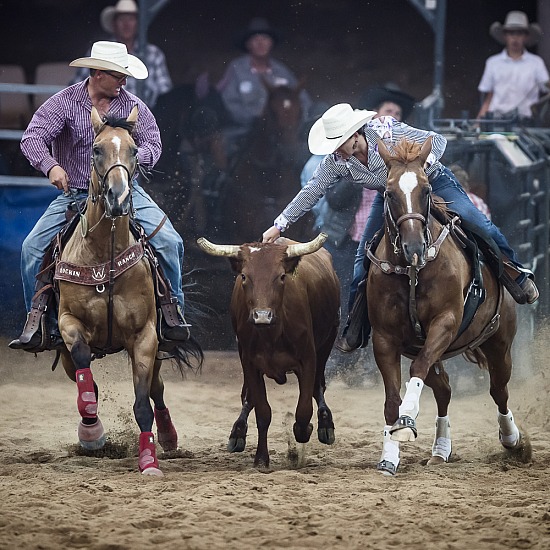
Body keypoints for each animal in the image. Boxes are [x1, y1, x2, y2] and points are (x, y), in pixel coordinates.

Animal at [55, 105, 202, 476]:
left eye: (135, 151)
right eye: (96, 149)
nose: (118, 197)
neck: (103, 256)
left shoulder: (145, 336)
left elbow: (142, 404)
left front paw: (148, 459)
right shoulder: (67, 322)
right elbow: (84, 369)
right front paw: (92, 431)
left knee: (157, 390)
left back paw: (168, 436)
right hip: (62, 352)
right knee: (85, 377)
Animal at [368, 139, 528, 478]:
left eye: (426, 190)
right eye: (388, 193)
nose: (414, 247)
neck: (413, 272)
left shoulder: (446, 323)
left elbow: (415, 371)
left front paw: (406, 421)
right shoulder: (384, 338)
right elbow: (391, 399)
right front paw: (390, 455)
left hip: (499, 343)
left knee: (499, 390)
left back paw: (512, 440)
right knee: (443, 389)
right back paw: (440, 450)